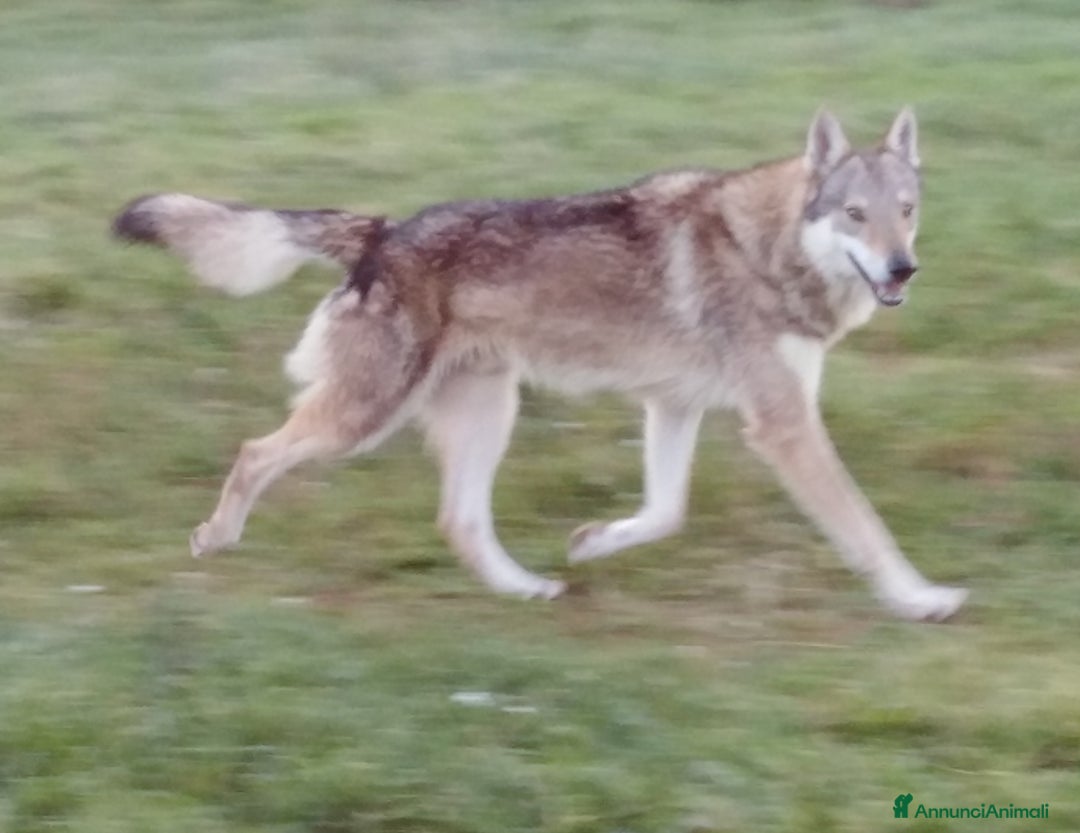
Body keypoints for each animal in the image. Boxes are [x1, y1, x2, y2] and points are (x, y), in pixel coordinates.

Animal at [112, 108, 967, 621]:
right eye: (855, 215)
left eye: (907, 212)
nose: (903, 269)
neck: (768, 247)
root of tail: (381, 231)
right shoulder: (783, 426)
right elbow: (864, 525)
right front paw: (920, 597)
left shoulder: (675, 406)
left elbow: (665, 512)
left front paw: (592, 542)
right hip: (363, 420)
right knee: (256, 452)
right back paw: (215, 538)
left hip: (488, 414)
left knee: (458, 521)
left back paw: (524, 588)